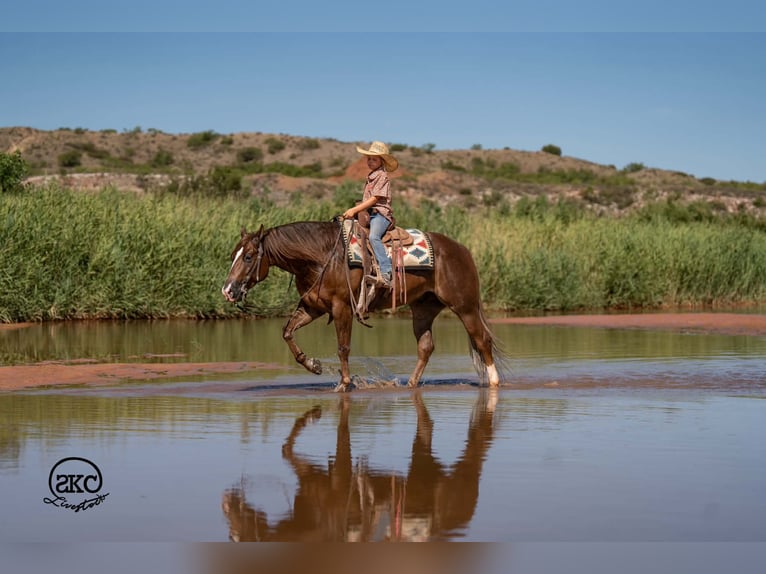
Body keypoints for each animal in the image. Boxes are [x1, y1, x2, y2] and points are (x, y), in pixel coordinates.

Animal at [221, 219, 504, 391]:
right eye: (233, 254)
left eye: (248, 257)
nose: (228, 290)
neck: (321, 257)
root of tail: (462, 250)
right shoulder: (313, 307)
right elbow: (287, 332)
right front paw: (313, 365)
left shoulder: (342, 307)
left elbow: (343, 347)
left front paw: (344, 383)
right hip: (423, 309)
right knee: (426, 347)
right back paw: (411, 384)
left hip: (465, 307)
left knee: (482, 340)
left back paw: (494, 382)